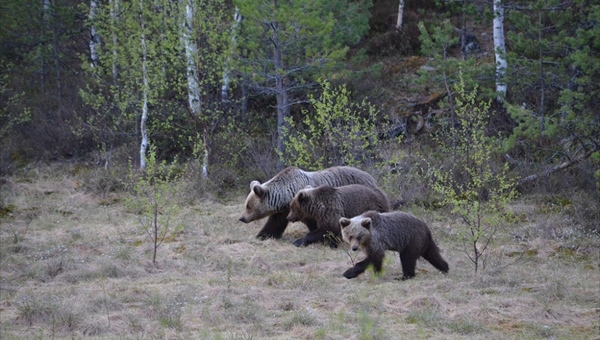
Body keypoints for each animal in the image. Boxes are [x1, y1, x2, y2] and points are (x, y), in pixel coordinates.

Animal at [239, 166, 384, 240]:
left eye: (248, 206)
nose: (242, 218)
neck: (287, 193)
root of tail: (370, 176)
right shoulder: (285, 210)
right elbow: (275, 222)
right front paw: (262, 235)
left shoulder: (306, 205)